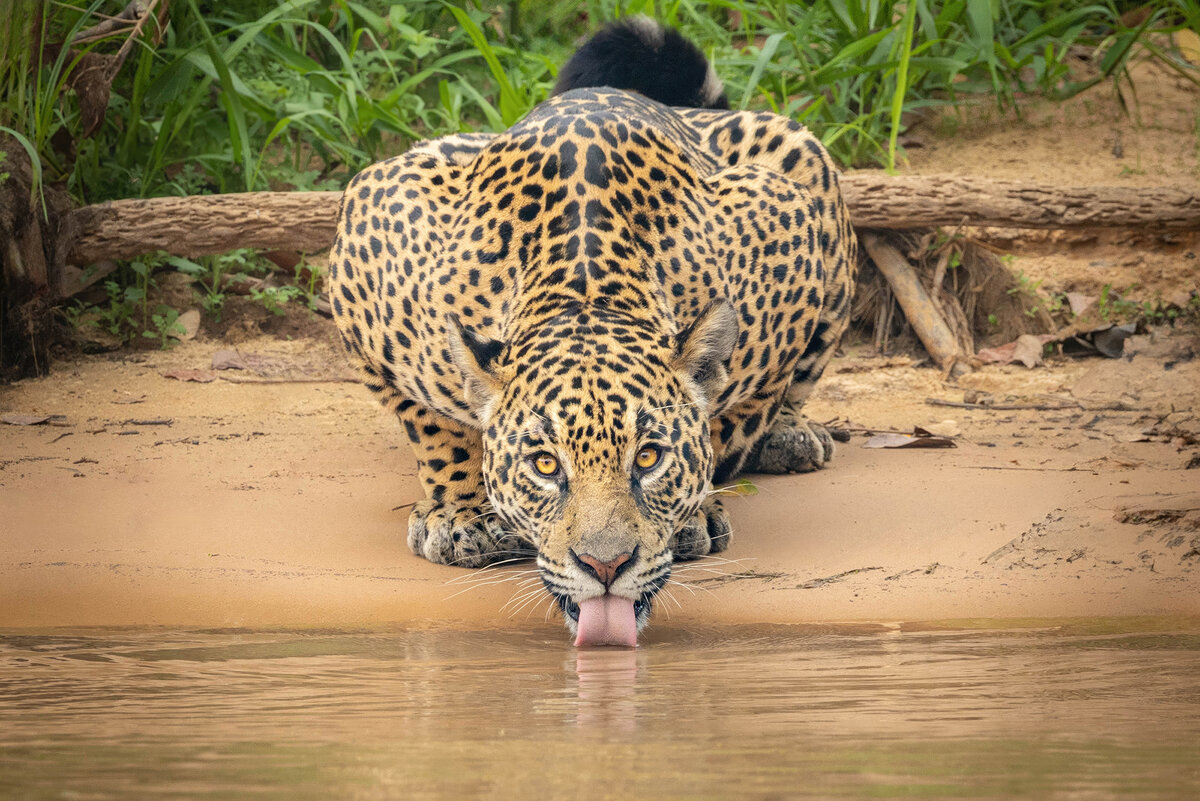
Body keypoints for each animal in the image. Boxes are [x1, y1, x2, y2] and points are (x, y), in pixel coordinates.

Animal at [329, 17, 858, 645]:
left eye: (649, 458)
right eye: (545, 465)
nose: (605, 565)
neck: (583, 289)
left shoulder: (787, 223)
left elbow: (732, 416)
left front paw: (694, 511)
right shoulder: (370, 229)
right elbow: (434, 427)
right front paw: (461, 513)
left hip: (805, 160)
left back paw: (791, 435)